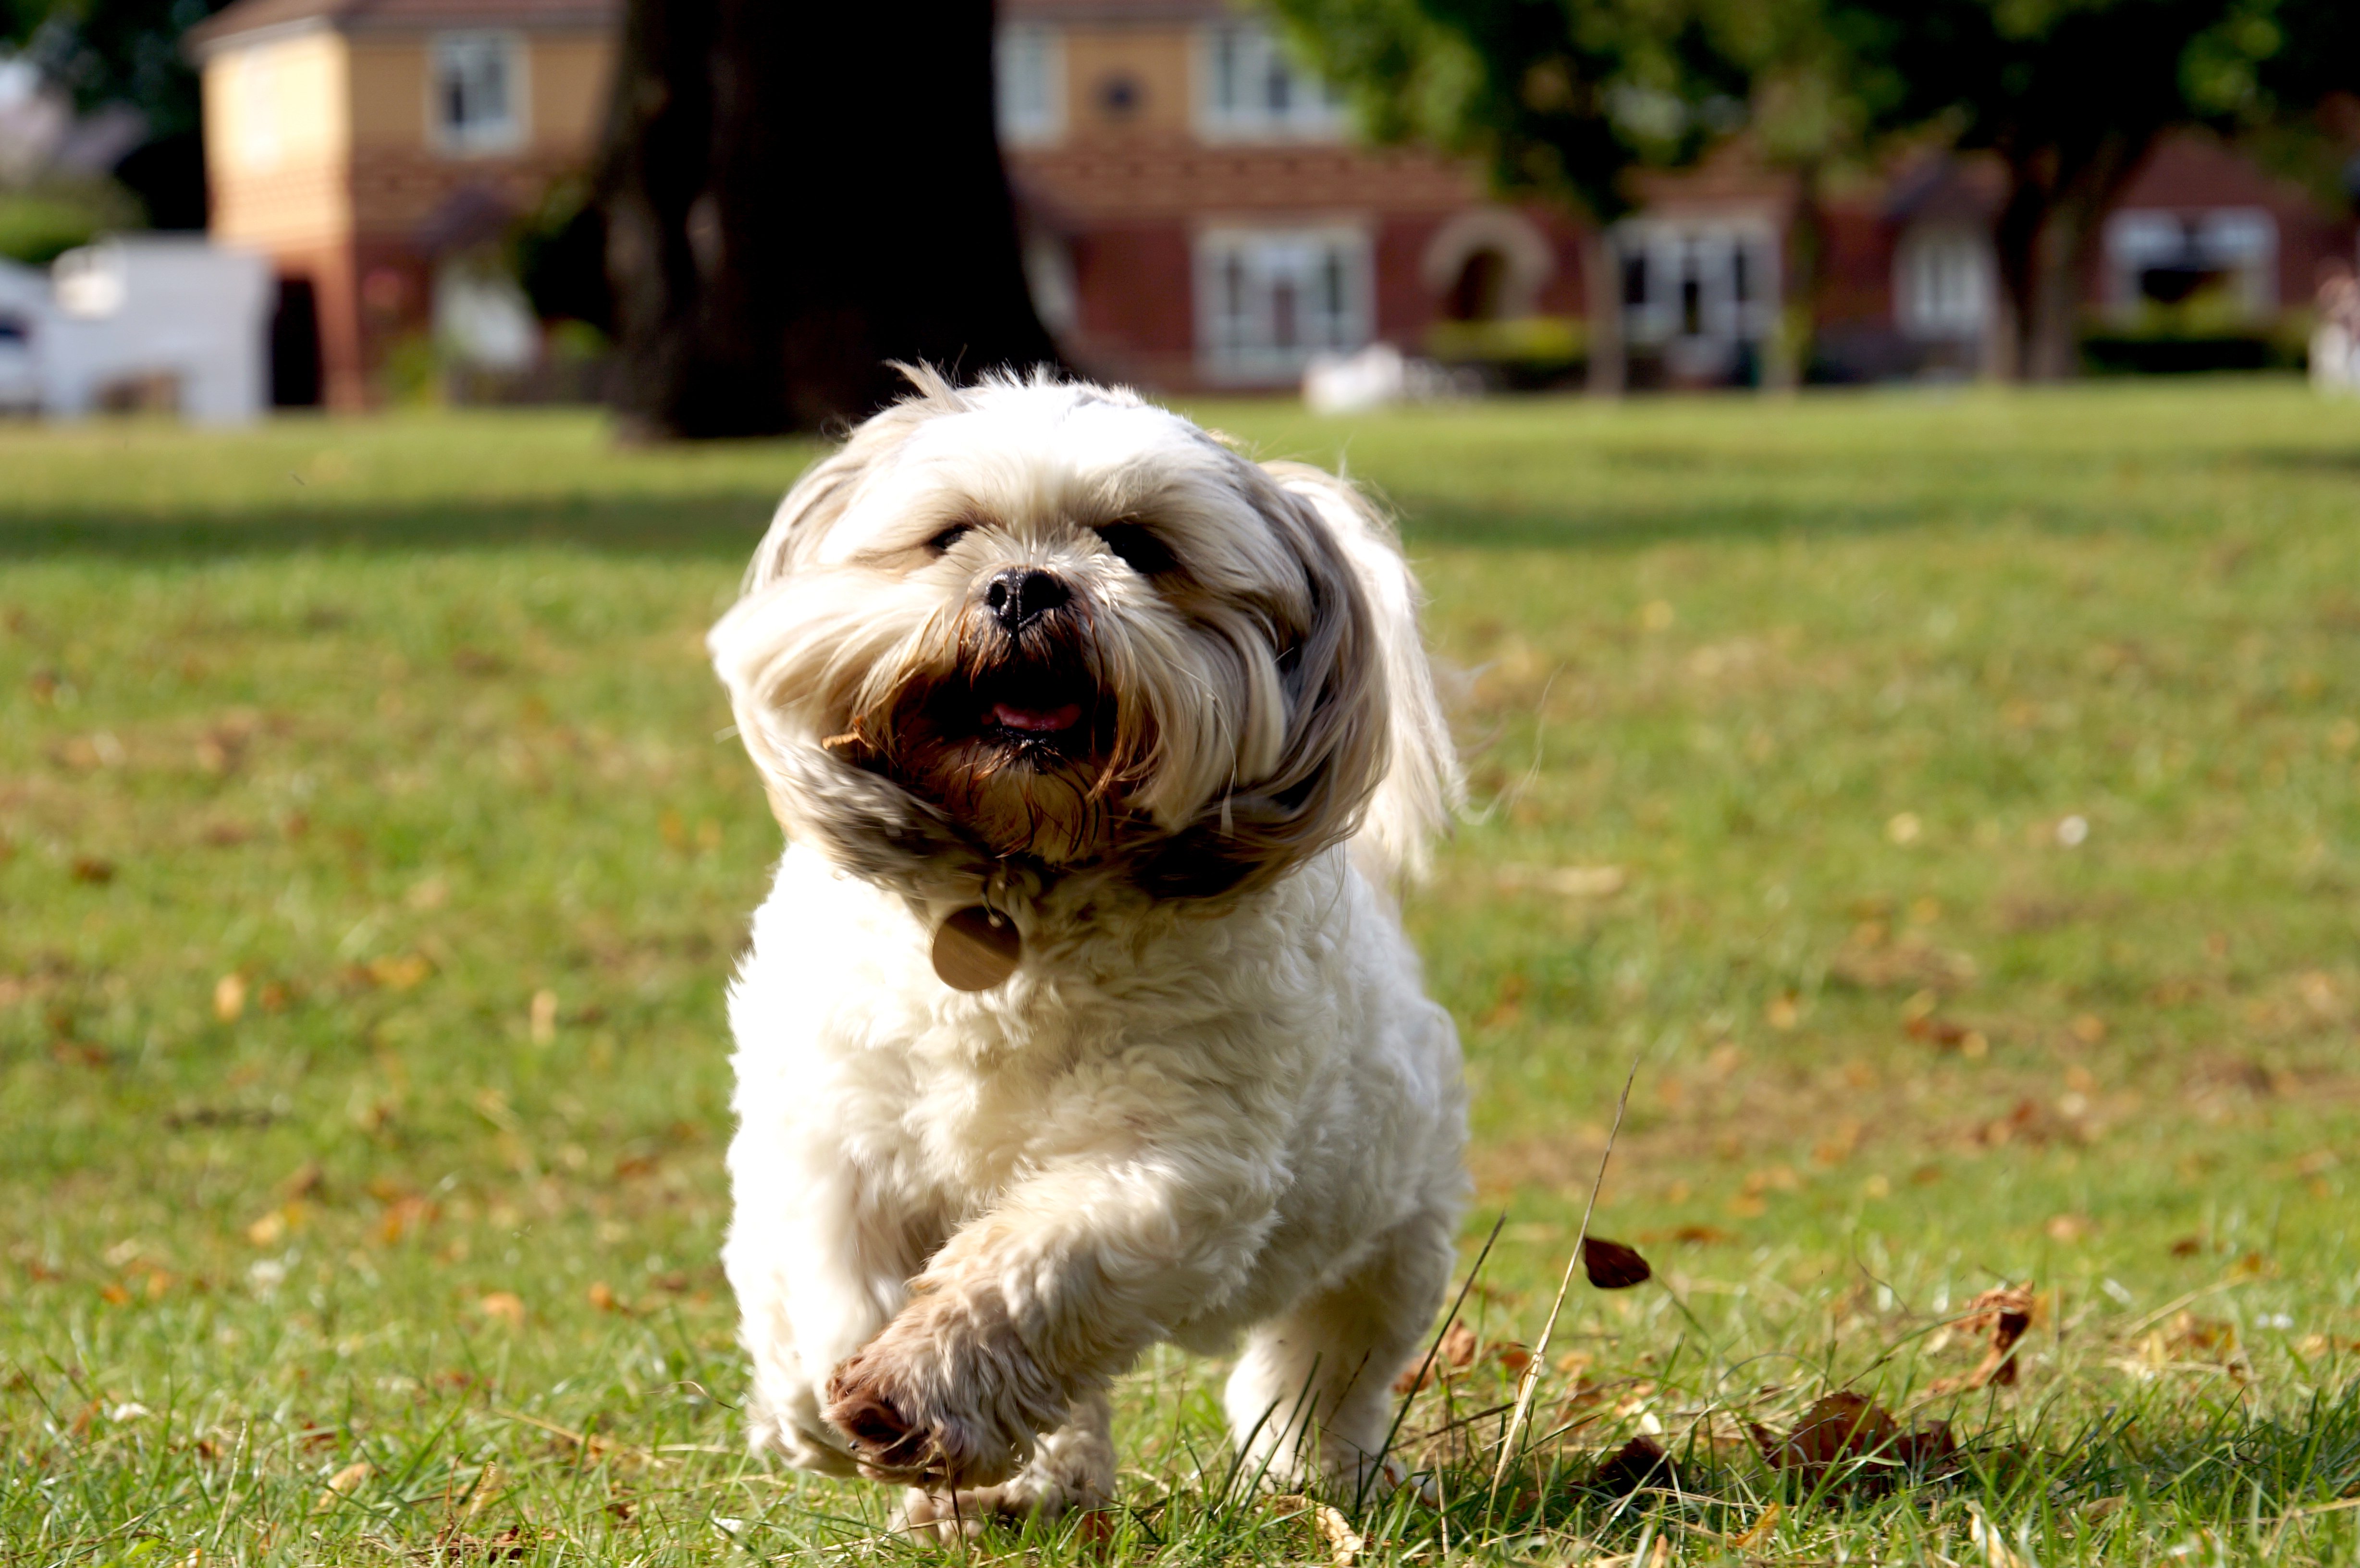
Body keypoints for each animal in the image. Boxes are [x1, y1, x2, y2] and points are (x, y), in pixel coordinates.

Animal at [708, 364, 1463, 1530]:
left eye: (1138, 545)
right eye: (951, 535)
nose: (1025, 586)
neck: (1018, 889)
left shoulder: (1166, 1164)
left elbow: (1033, 1265)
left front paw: (915, 1389)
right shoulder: (832, 1135)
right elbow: (833, 1279)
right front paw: (825, 1411)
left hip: (1387, 1240)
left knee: (1321, 1363)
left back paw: (1308, 1470)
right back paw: (1021, 1484)